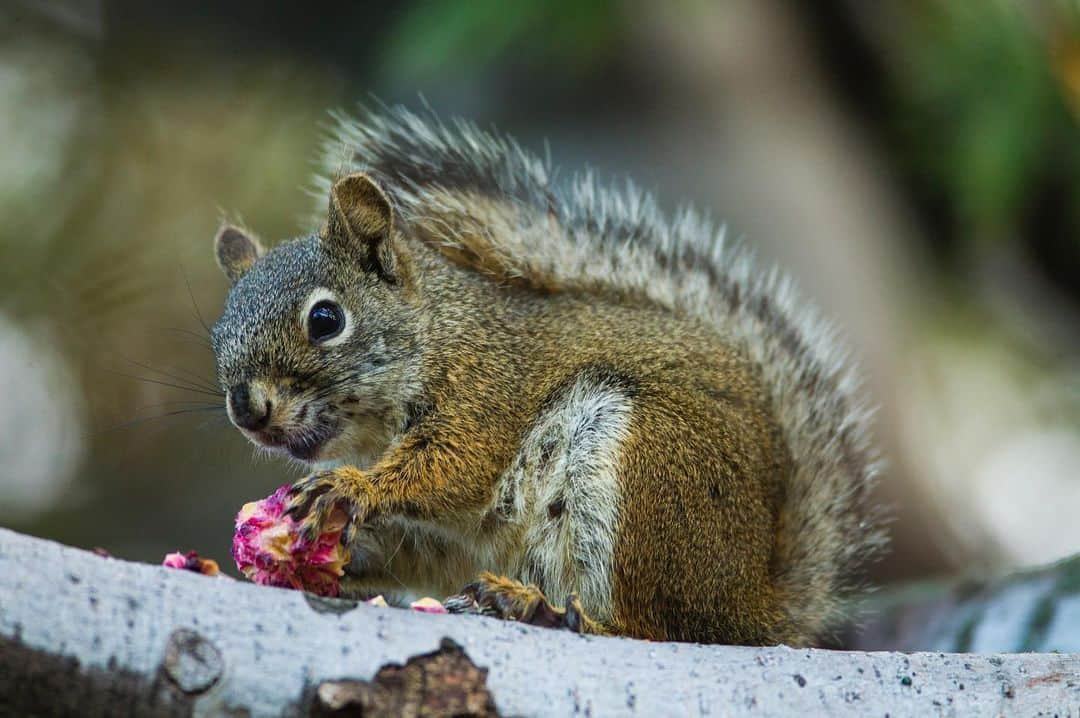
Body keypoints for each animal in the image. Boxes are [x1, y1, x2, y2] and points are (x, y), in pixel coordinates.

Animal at [208, 103, 885, 647]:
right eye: (217, 335)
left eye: (325, 319)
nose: (247, 409)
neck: (437, 333)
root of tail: (753, 610)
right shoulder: (445, 537)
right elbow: (417, 545)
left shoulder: (485, 392)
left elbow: (453, 467)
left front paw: (351, 488)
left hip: (643, 472)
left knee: (655, 627)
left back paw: (544, 609)